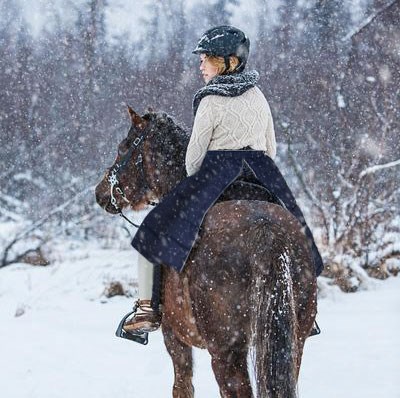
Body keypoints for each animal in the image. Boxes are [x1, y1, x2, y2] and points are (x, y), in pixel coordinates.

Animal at [95, 106, 318, 398]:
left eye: (123, 148)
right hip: (292, 343)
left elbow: (182, 385)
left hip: (225, 352)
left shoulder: (173, 335)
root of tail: (265, 230)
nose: (100, 193)